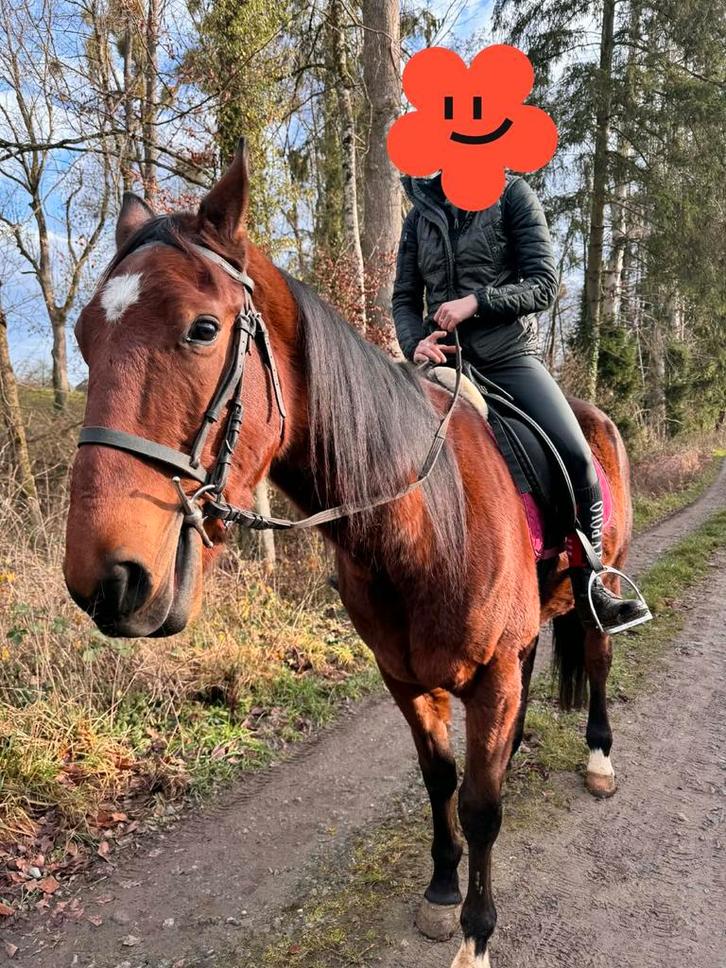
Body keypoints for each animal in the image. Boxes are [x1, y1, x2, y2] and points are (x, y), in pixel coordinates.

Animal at [64, 141, 632, 968]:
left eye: (203, 329)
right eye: (82, 336)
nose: (104, 578)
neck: (424, 529)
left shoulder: (489, 672)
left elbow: (481, 805)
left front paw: (476, 933)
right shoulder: (405, 677)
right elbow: (440, 778)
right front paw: (441, 891)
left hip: (591, 597)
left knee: (595, 658)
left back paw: (598, 759)